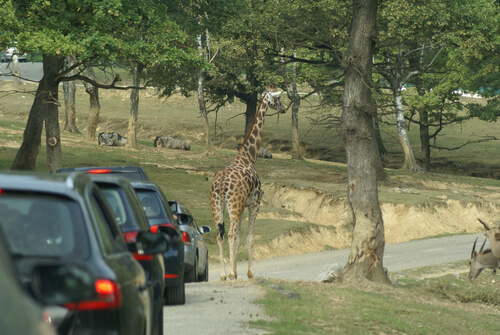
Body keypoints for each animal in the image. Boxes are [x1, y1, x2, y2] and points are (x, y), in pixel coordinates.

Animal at [210, 86, 288, 280]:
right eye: (278, 98)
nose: (284, 108)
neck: (249, 157)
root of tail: (221, 184)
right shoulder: (254, 204)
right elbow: (249, 237)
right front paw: (248, 272)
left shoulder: (243, 205)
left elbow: (239, 238)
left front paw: (236, 271)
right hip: (233, 205)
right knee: (229, 234)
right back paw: (229, 274)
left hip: (218, 206)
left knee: (220, 235)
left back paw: (223, 275)